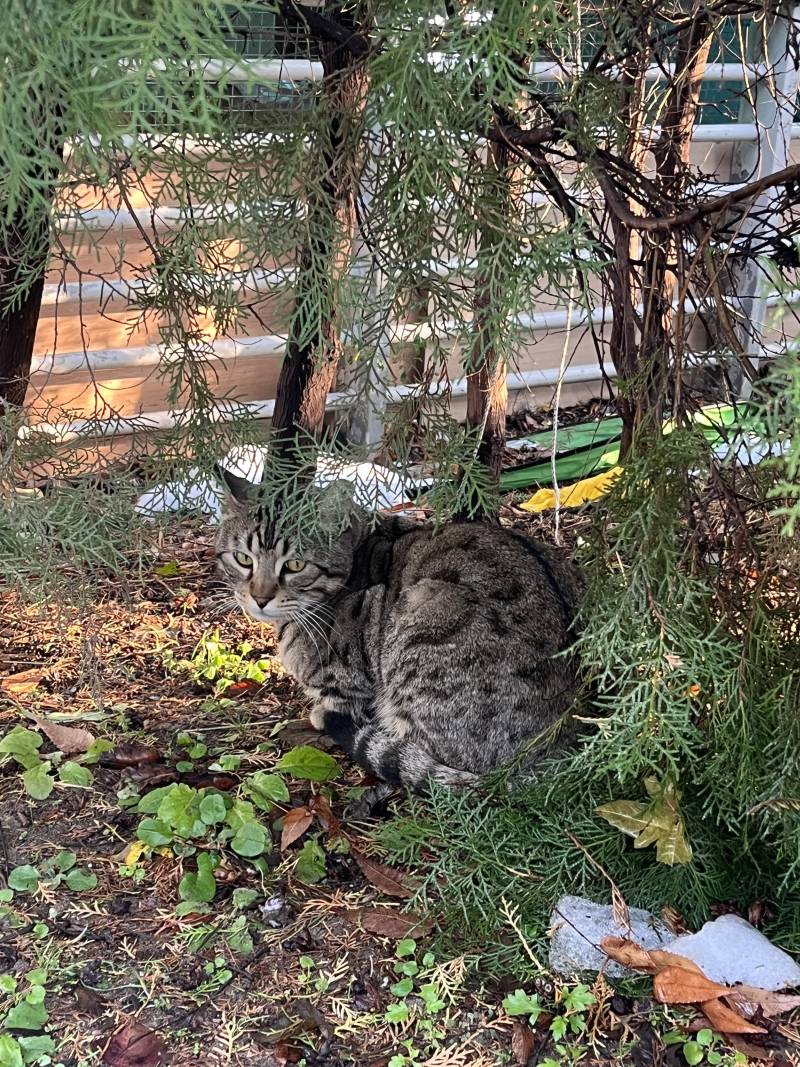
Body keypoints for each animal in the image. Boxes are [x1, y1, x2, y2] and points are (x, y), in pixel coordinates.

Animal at [216, 471, 584, 789]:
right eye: (243, 559)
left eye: (295, 565)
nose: (260, 598)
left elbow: (343, 698)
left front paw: (324, 711)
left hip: (422, 611)